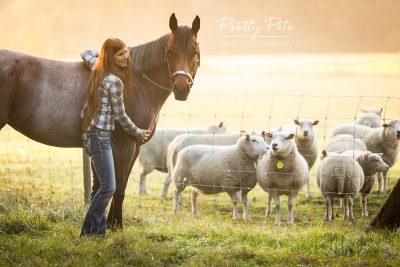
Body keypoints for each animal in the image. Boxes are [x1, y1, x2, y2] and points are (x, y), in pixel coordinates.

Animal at [0, 12, 200, 229]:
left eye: (195, 52)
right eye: (170, 52)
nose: (181, 88)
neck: (135, 81)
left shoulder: (135, 147)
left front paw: (110, 224)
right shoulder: (125, 145)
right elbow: (119, 187)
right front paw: (116, 225)